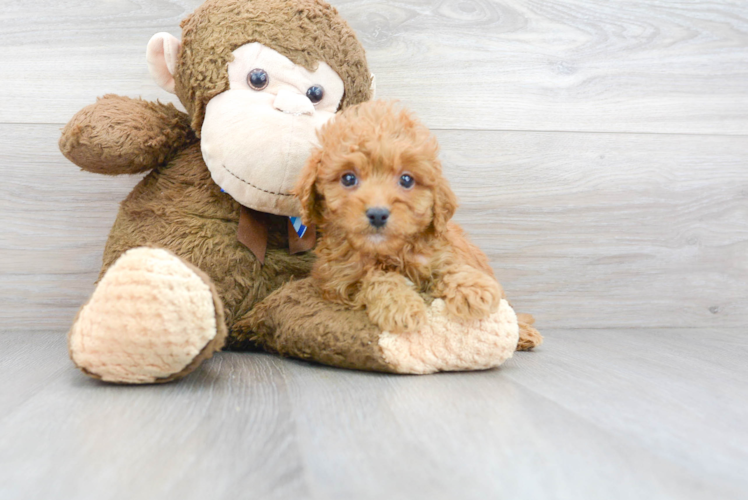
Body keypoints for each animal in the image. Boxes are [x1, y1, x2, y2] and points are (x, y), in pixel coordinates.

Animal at [294, 99, 502, 334]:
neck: (389, 252)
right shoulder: (340, 281)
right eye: (348, 178)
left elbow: (449, 265)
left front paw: (474, 288)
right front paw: (400, 305)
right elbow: (376, 277)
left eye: (406, 180)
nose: (377, 214)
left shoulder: (441, 251)